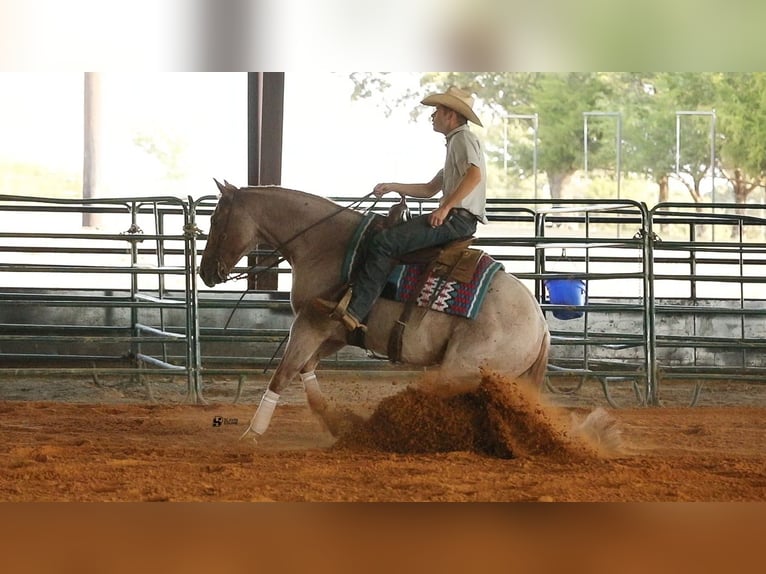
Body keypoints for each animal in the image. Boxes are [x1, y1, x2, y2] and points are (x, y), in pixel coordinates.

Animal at [196, 182, 544, 438]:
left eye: (215, 220)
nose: (205, 272)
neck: (323, 244)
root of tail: (540, 323)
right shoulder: (336, 331)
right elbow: (307, 369)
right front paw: (337, 423)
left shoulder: (311, 323)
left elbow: (283, 374)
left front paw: (252, 434)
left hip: (461, 369)